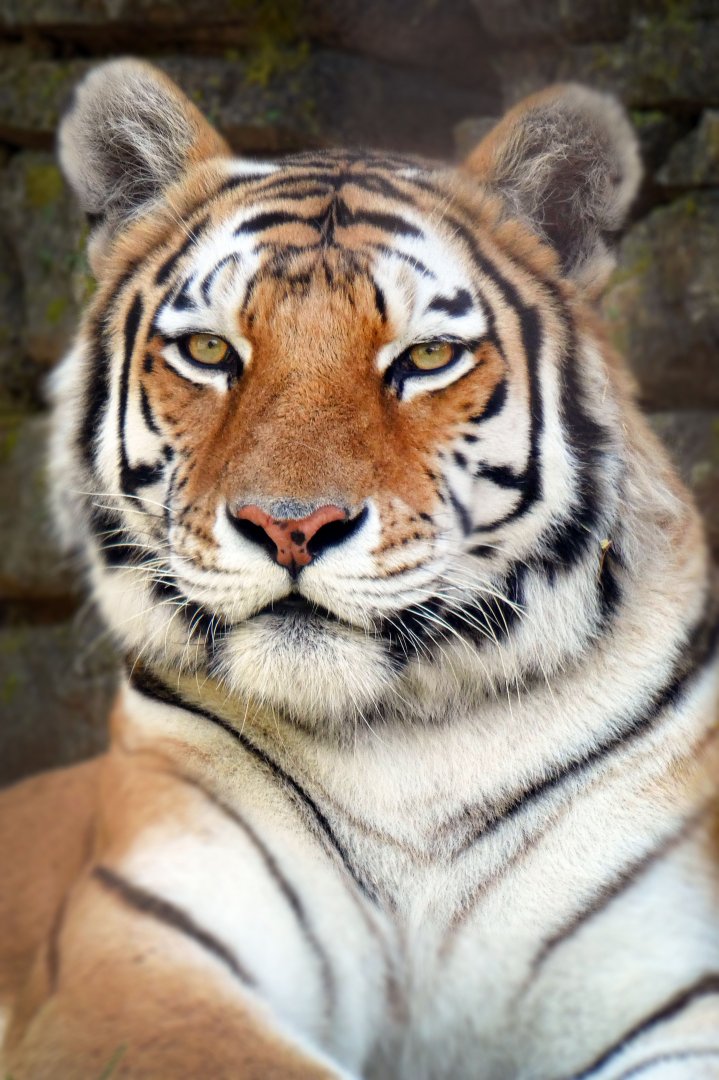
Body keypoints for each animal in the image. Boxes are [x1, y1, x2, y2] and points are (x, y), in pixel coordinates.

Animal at [0, 55, 718, 1079]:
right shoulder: (137, 963)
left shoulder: (670, 980)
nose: (291, 526)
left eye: (425, 356)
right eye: (210, 350)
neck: (406, 745)